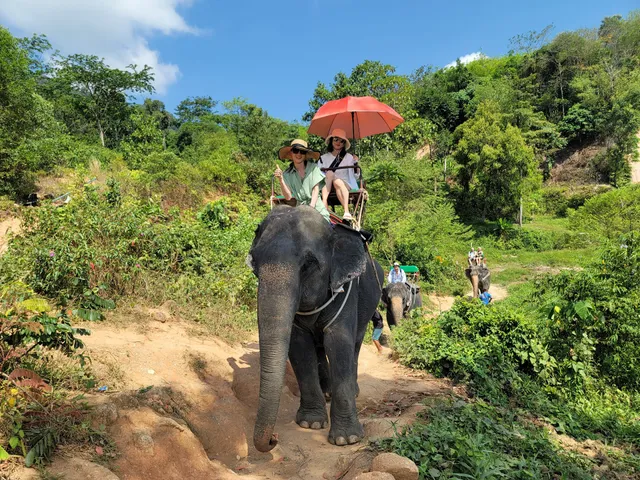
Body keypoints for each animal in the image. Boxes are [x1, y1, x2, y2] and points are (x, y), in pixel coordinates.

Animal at [246, 205, 384, 452]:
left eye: (308, 265)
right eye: (255, 265)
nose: (274, 439)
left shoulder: (346, 291)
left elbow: (338, 343)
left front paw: (347, 439)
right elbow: (299, 345)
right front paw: (311, 424)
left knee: (355, 345)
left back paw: (354, 391)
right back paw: (327, 392)